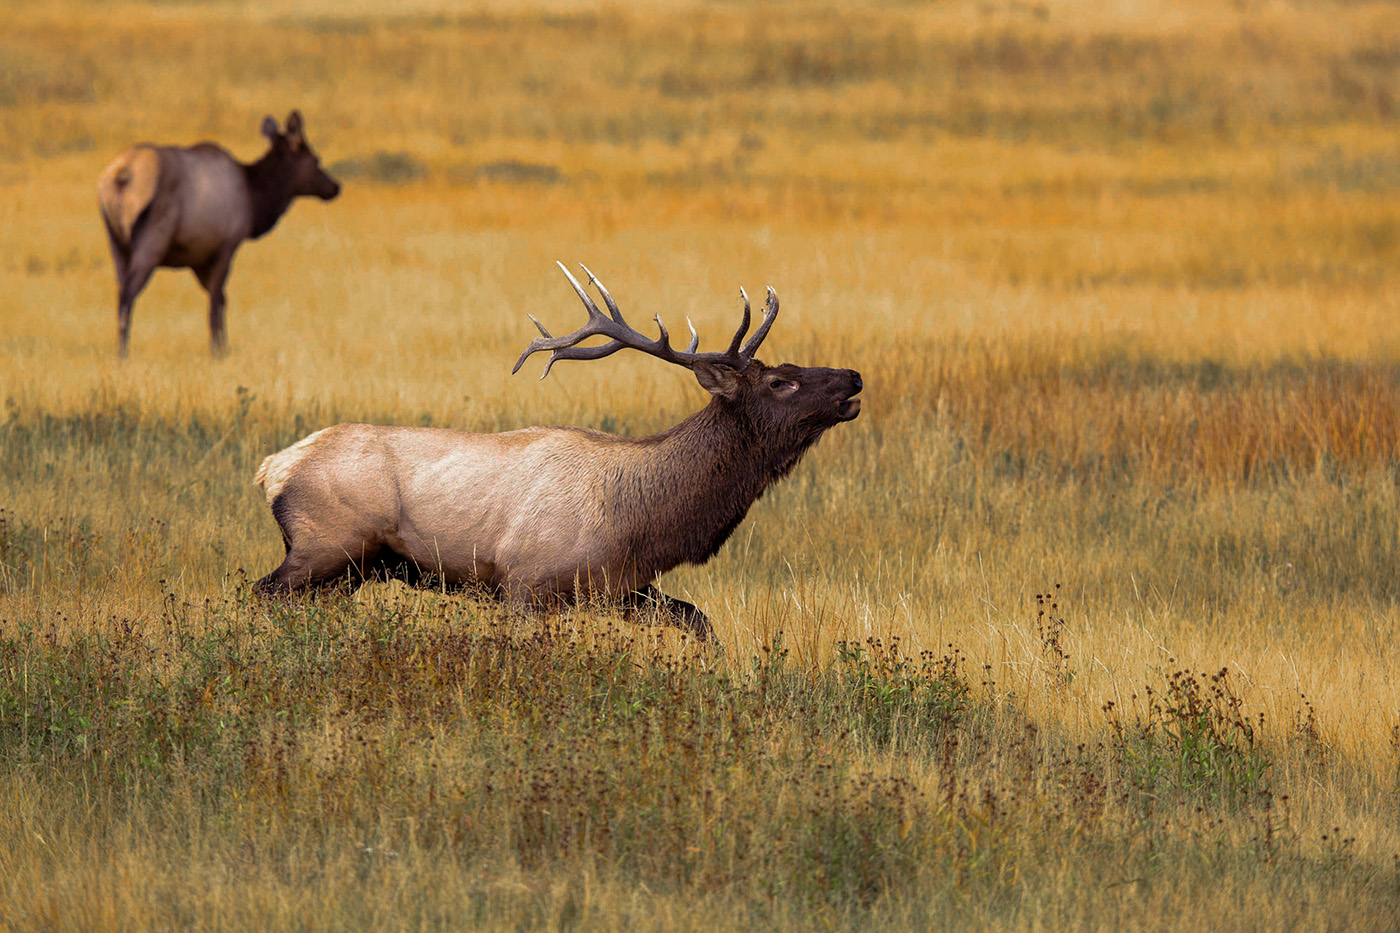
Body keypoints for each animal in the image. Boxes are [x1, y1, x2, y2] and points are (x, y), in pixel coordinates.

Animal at [97, 110, 341, 357]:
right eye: (315, 159)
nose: (335, 187)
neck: (255, 200)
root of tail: (122, 176)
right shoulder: (227, 245)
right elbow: (216, 302)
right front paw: (217, 352)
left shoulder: (198, 259)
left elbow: (220, 300)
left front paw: (223, 347)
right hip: (152, 240)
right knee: (128, 295)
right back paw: (123, 354)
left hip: (115, 243)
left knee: (120, 291)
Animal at [252, 263, 863, 643]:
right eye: (780, 382)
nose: (853, 377)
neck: (641, 521)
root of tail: (272, 468)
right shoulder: (524, 581)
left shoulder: (621, 588)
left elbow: (699, 621)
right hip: (327, 543)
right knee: (261, 592)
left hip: (353, 569)